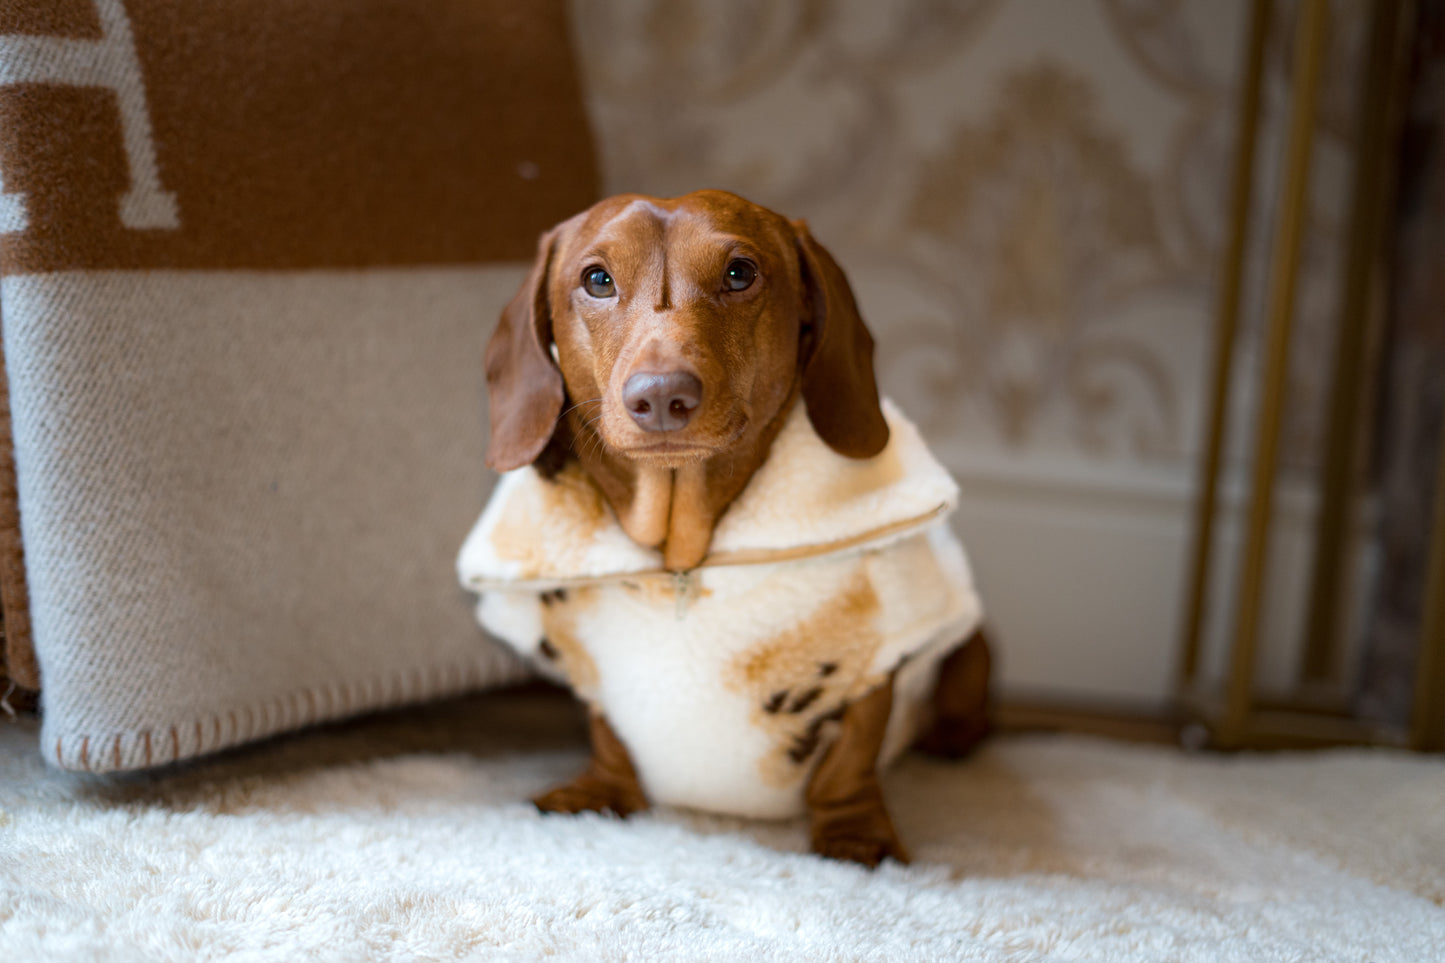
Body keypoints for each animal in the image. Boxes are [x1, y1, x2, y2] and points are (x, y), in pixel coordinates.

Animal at [465, 189, 994, 861]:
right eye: (596, 280)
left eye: (740, 273)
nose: (661, 397)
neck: (682, 559)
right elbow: (608, 731)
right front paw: (601, 790)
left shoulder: (880, 652)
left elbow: (852, 753)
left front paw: (855, 833)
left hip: (971, 645)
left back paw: (953, 736)